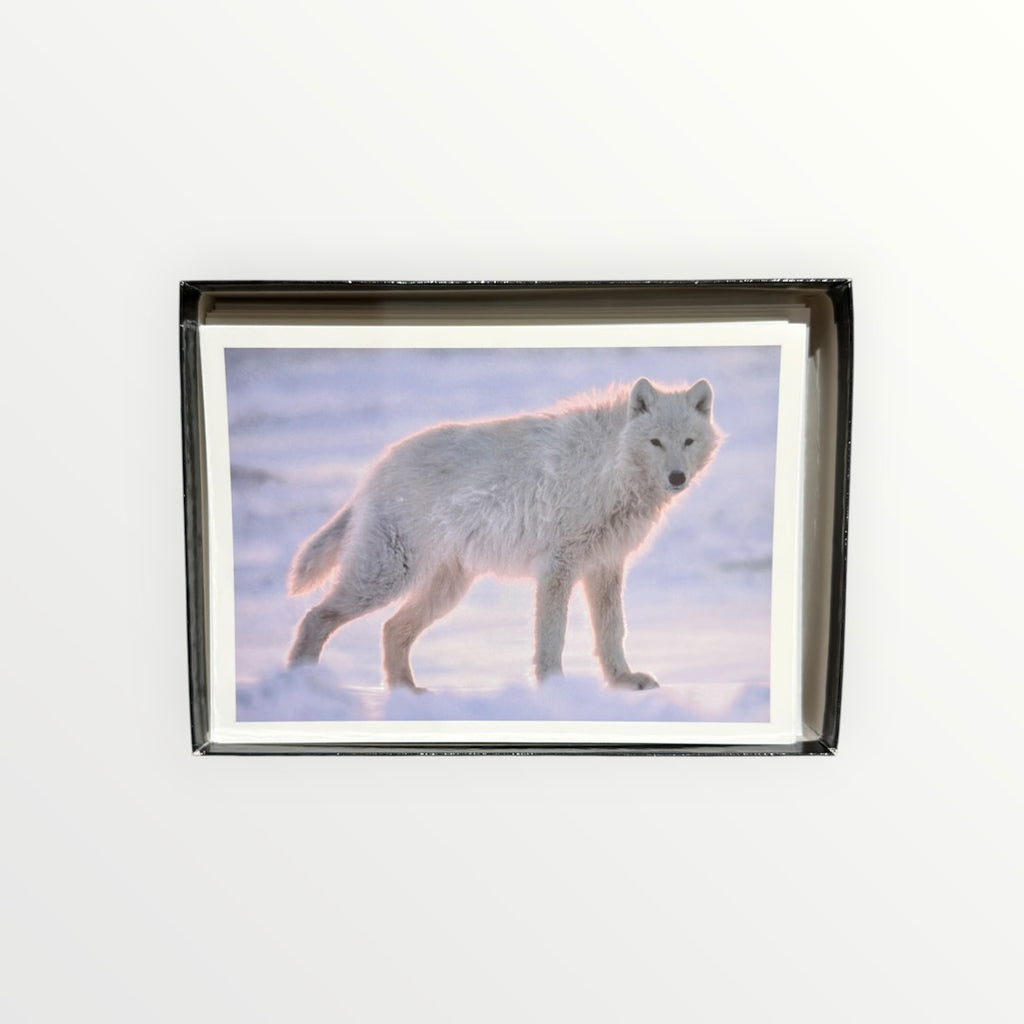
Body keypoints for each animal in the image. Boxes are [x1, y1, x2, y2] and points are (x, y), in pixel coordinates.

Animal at [286, 377, 721, 690]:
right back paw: (300, 685)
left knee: (392, 629)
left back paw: (407, 693)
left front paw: (623, 681)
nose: (677, 477)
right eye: (655, 442)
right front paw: (554, 688)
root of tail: (374, 471)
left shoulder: (605, 566)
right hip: (386, 578)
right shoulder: (558, 567)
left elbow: (612, 631)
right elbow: (552, 637)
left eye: (687, 441)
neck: (608, 469)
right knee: (315, 617)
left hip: (444, 590)